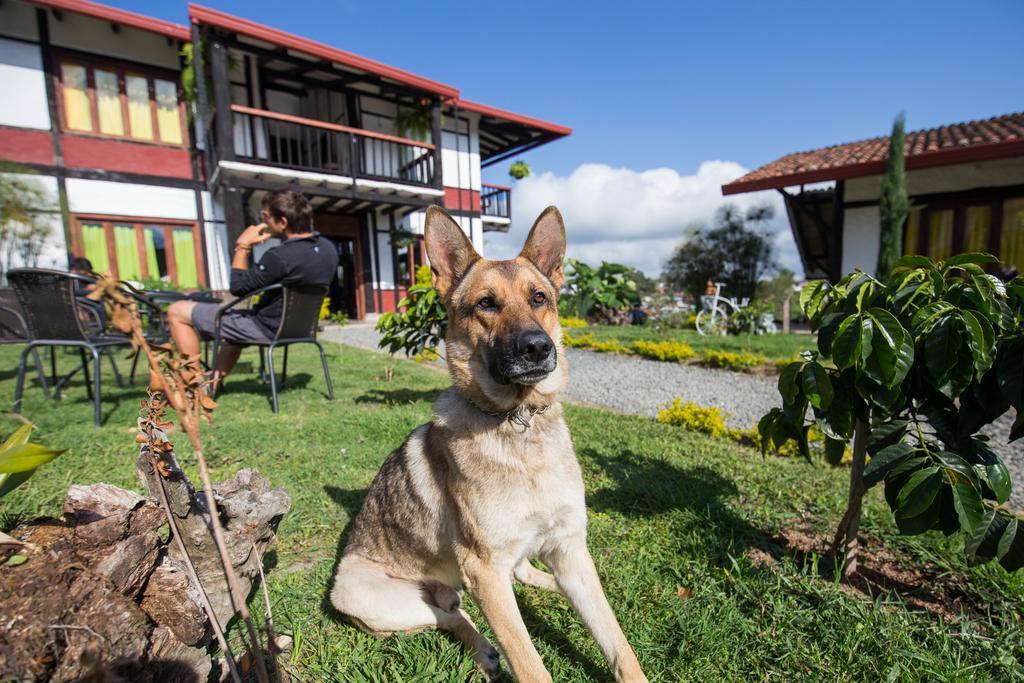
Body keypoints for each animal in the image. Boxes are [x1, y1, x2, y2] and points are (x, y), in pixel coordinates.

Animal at [329, 205, 647, 679]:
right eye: (486, 304)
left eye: (539, 298)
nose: (537, 347)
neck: (518, 422)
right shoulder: (483, 569)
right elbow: (529, 662)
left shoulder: (570, 548)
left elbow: (618, 643)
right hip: (370, 596)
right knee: (452, 615)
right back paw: (483, 650)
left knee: (519, 580)